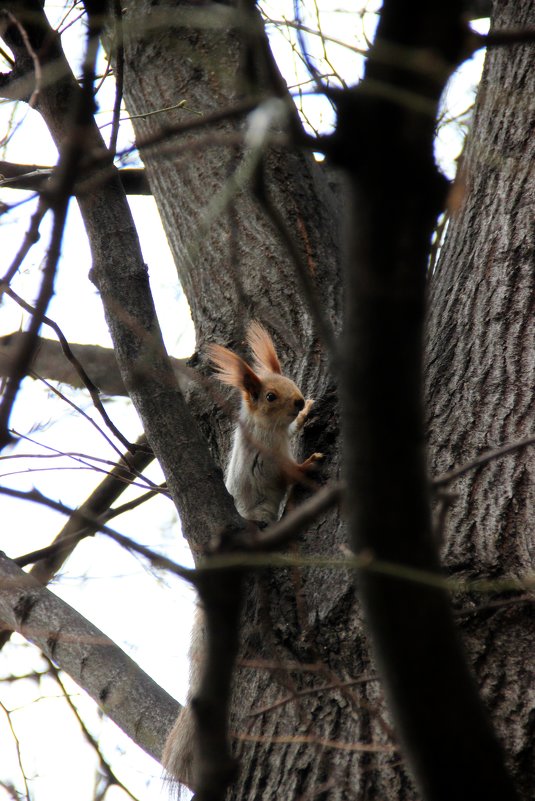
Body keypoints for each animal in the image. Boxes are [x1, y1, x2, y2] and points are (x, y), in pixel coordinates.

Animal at [162, 322, 322, 792]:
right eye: (269, 395)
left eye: (290, 384)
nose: (299, 401)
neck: (269, 431)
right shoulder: (268, 461)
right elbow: (289, 471)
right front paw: (309, 463)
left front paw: (308, 415)